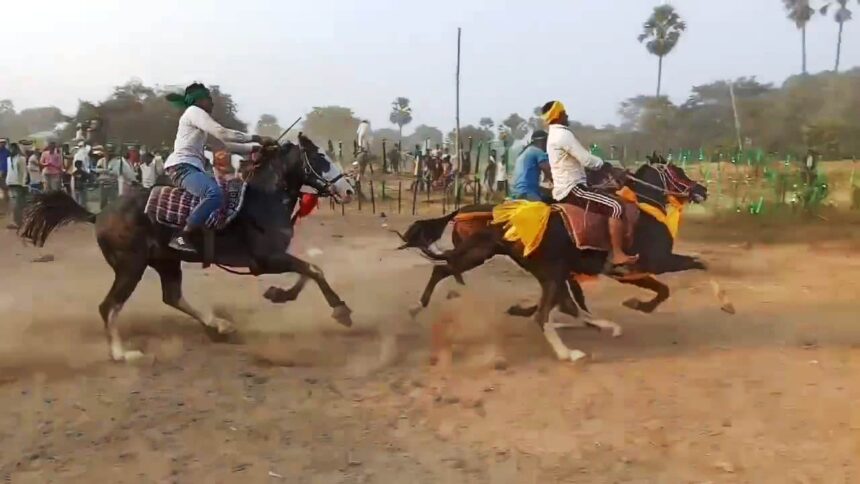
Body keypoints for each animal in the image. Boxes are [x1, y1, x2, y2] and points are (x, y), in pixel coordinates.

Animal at [21, 134, 356, 362]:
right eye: (321, 158)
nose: (349, 190)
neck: (263, 199)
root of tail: (98, 215)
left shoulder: (273, 258)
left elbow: (308, 269)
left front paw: (279, 294)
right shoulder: (265, 259)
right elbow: (312, 269)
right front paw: (341, 311)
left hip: (165, 262)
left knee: (171, 296)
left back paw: (219, 326)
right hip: (130, 267)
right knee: (109, 306)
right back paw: (123, 354)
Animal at [398, 155, 720, 364]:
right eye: (677, 170)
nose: (702, 189)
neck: (642, 209)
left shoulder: (631, 271)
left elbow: (664, 287)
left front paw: (635, 304)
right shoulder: (656, 261)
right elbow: (693, 268)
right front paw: (722, 301)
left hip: (491, 257)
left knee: (443, 269)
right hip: (544, 269)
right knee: (545, 313)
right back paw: (569, 352)